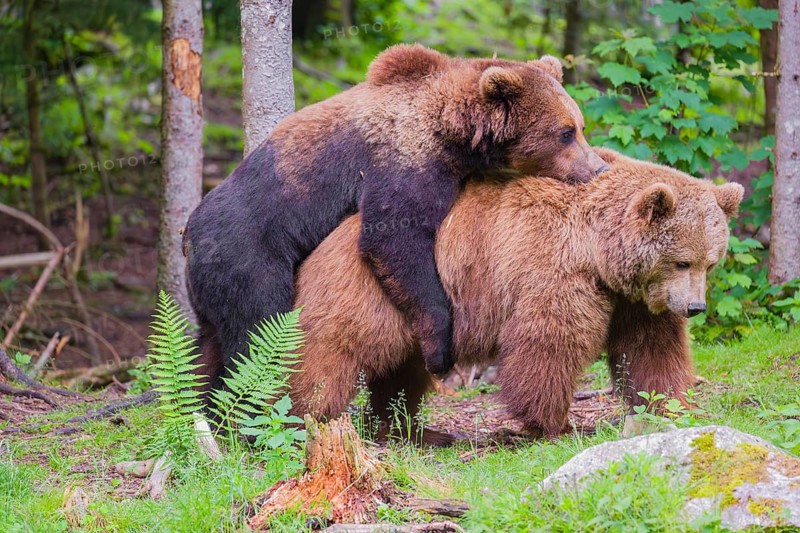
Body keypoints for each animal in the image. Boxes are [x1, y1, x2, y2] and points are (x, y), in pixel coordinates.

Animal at [183, 44, 608, 395]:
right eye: (565, 133)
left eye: (580, 126)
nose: (598, 167)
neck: (454, 133)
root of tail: (187, 236)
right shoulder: (403, 160)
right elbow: (395, 239)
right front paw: (440, 351)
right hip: (246, 256)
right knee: (256, 329)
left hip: (208, 289)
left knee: (210, 345)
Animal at [288, 148, 743, 441]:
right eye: (682, 261)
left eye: (710, 262)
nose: (695, 306)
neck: (597, 248)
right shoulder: (552, 265)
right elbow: (549, 343)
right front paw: (553, 424)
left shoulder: (632, 299)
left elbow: (651, 349)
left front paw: (668, 405)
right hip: (365, 293)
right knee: (329, 354)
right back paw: (302, 416)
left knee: (401, 374)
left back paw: (407, 428)